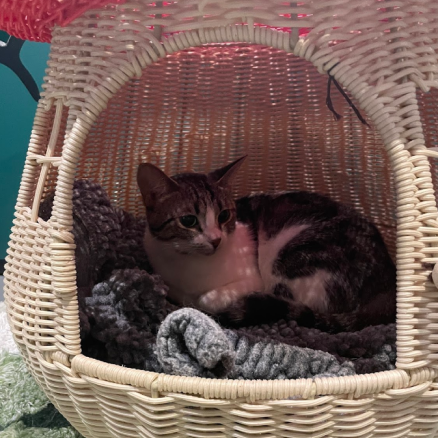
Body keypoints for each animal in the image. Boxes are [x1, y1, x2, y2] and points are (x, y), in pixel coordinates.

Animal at [138, 157, 396, 332]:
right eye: (189, 220)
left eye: (224, 216)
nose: (216, 239)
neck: (190, 267)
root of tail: (389, 281)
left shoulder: (255, 279)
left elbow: (206, 300)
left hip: (294, 259)